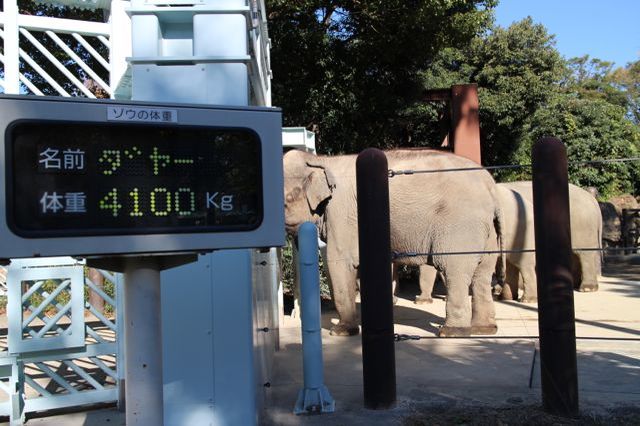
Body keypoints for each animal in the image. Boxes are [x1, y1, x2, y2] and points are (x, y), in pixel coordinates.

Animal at [284, 148, 504, 338]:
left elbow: (340, 262)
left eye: (286, 200)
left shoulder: (341, 213)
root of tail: (491, 186)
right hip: (487, 231)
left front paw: (341, 332)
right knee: (482, 274)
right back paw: (484, 329)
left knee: (454, 270)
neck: (321, 160)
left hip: (461, 225)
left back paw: (451, 332)